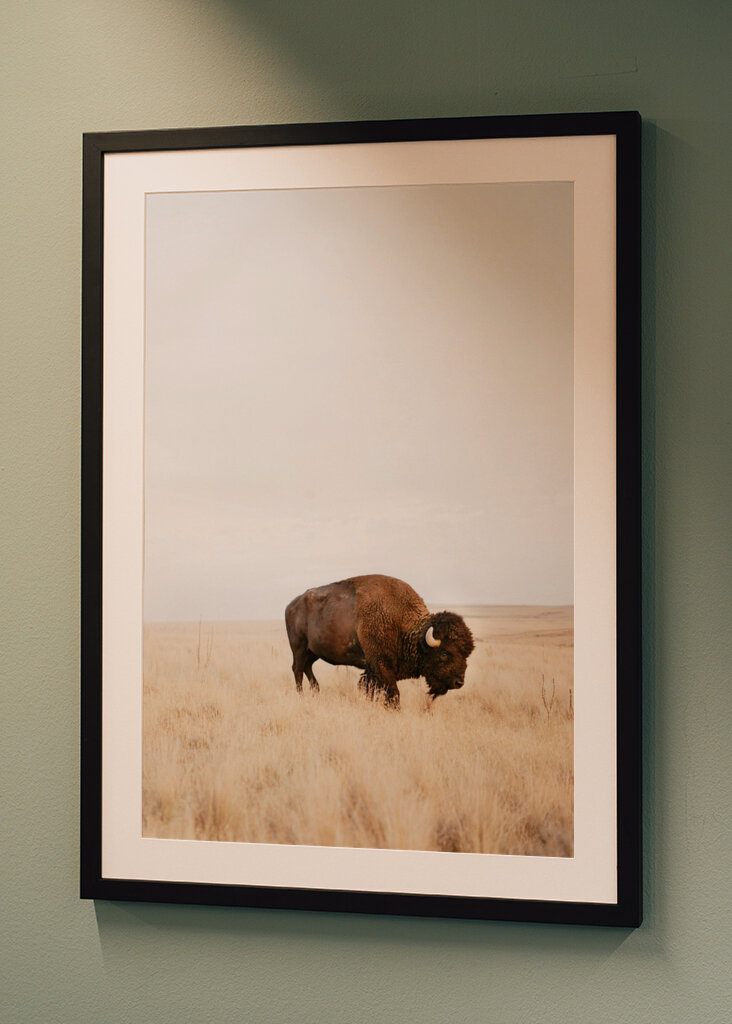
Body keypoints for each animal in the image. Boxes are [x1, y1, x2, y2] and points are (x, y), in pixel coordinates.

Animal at [285, 574, 474, 708]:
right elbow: (393, 694)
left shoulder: (372, 669)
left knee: (307, 668)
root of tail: (291, 605)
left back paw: (316, 692)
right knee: (298, 670)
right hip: (299, 648)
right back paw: (302, 696)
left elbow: (371, 689)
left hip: (313, 651)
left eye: (466, 654)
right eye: (445, 653)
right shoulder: (381, 666)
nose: (459, 682)